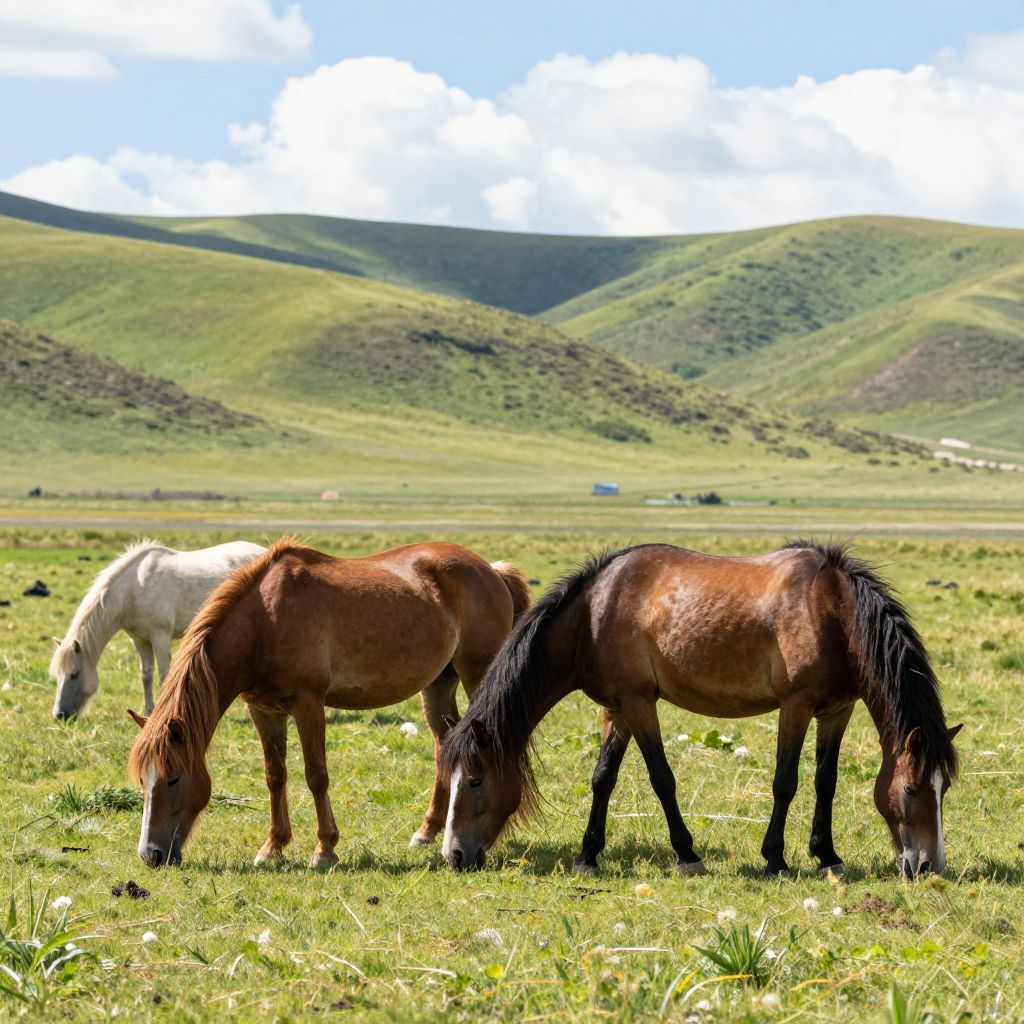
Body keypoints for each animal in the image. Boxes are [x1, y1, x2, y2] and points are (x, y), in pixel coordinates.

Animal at [51, 540, 266, 720]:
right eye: (57, 676)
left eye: (74, 674)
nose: (60, 715)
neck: (134, 589)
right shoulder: (140, 640)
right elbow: (146, 676)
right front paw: (147, 711)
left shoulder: (160, 637)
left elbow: (164, 677)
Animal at [127, 539, 530, 868]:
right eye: (143, 780)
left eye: (173, 778)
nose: (150, 854)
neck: (266, 622)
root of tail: (491, 570)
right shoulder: (264, 710)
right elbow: (275, 775)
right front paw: (272, 847)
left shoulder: (309, 705)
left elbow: (315, 775)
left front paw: (325, 850)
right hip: (437, 687)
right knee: (444, 746)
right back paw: (427, 831)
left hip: (477, 675)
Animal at [440, 541, 962, 879]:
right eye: (913, 789)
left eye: (942, 789)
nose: (454, 855)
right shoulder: (634, 704)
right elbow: (654, 779)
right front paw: (753, 858)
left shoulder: (835, 710)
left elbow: (823, 782)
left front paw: (826, 854)